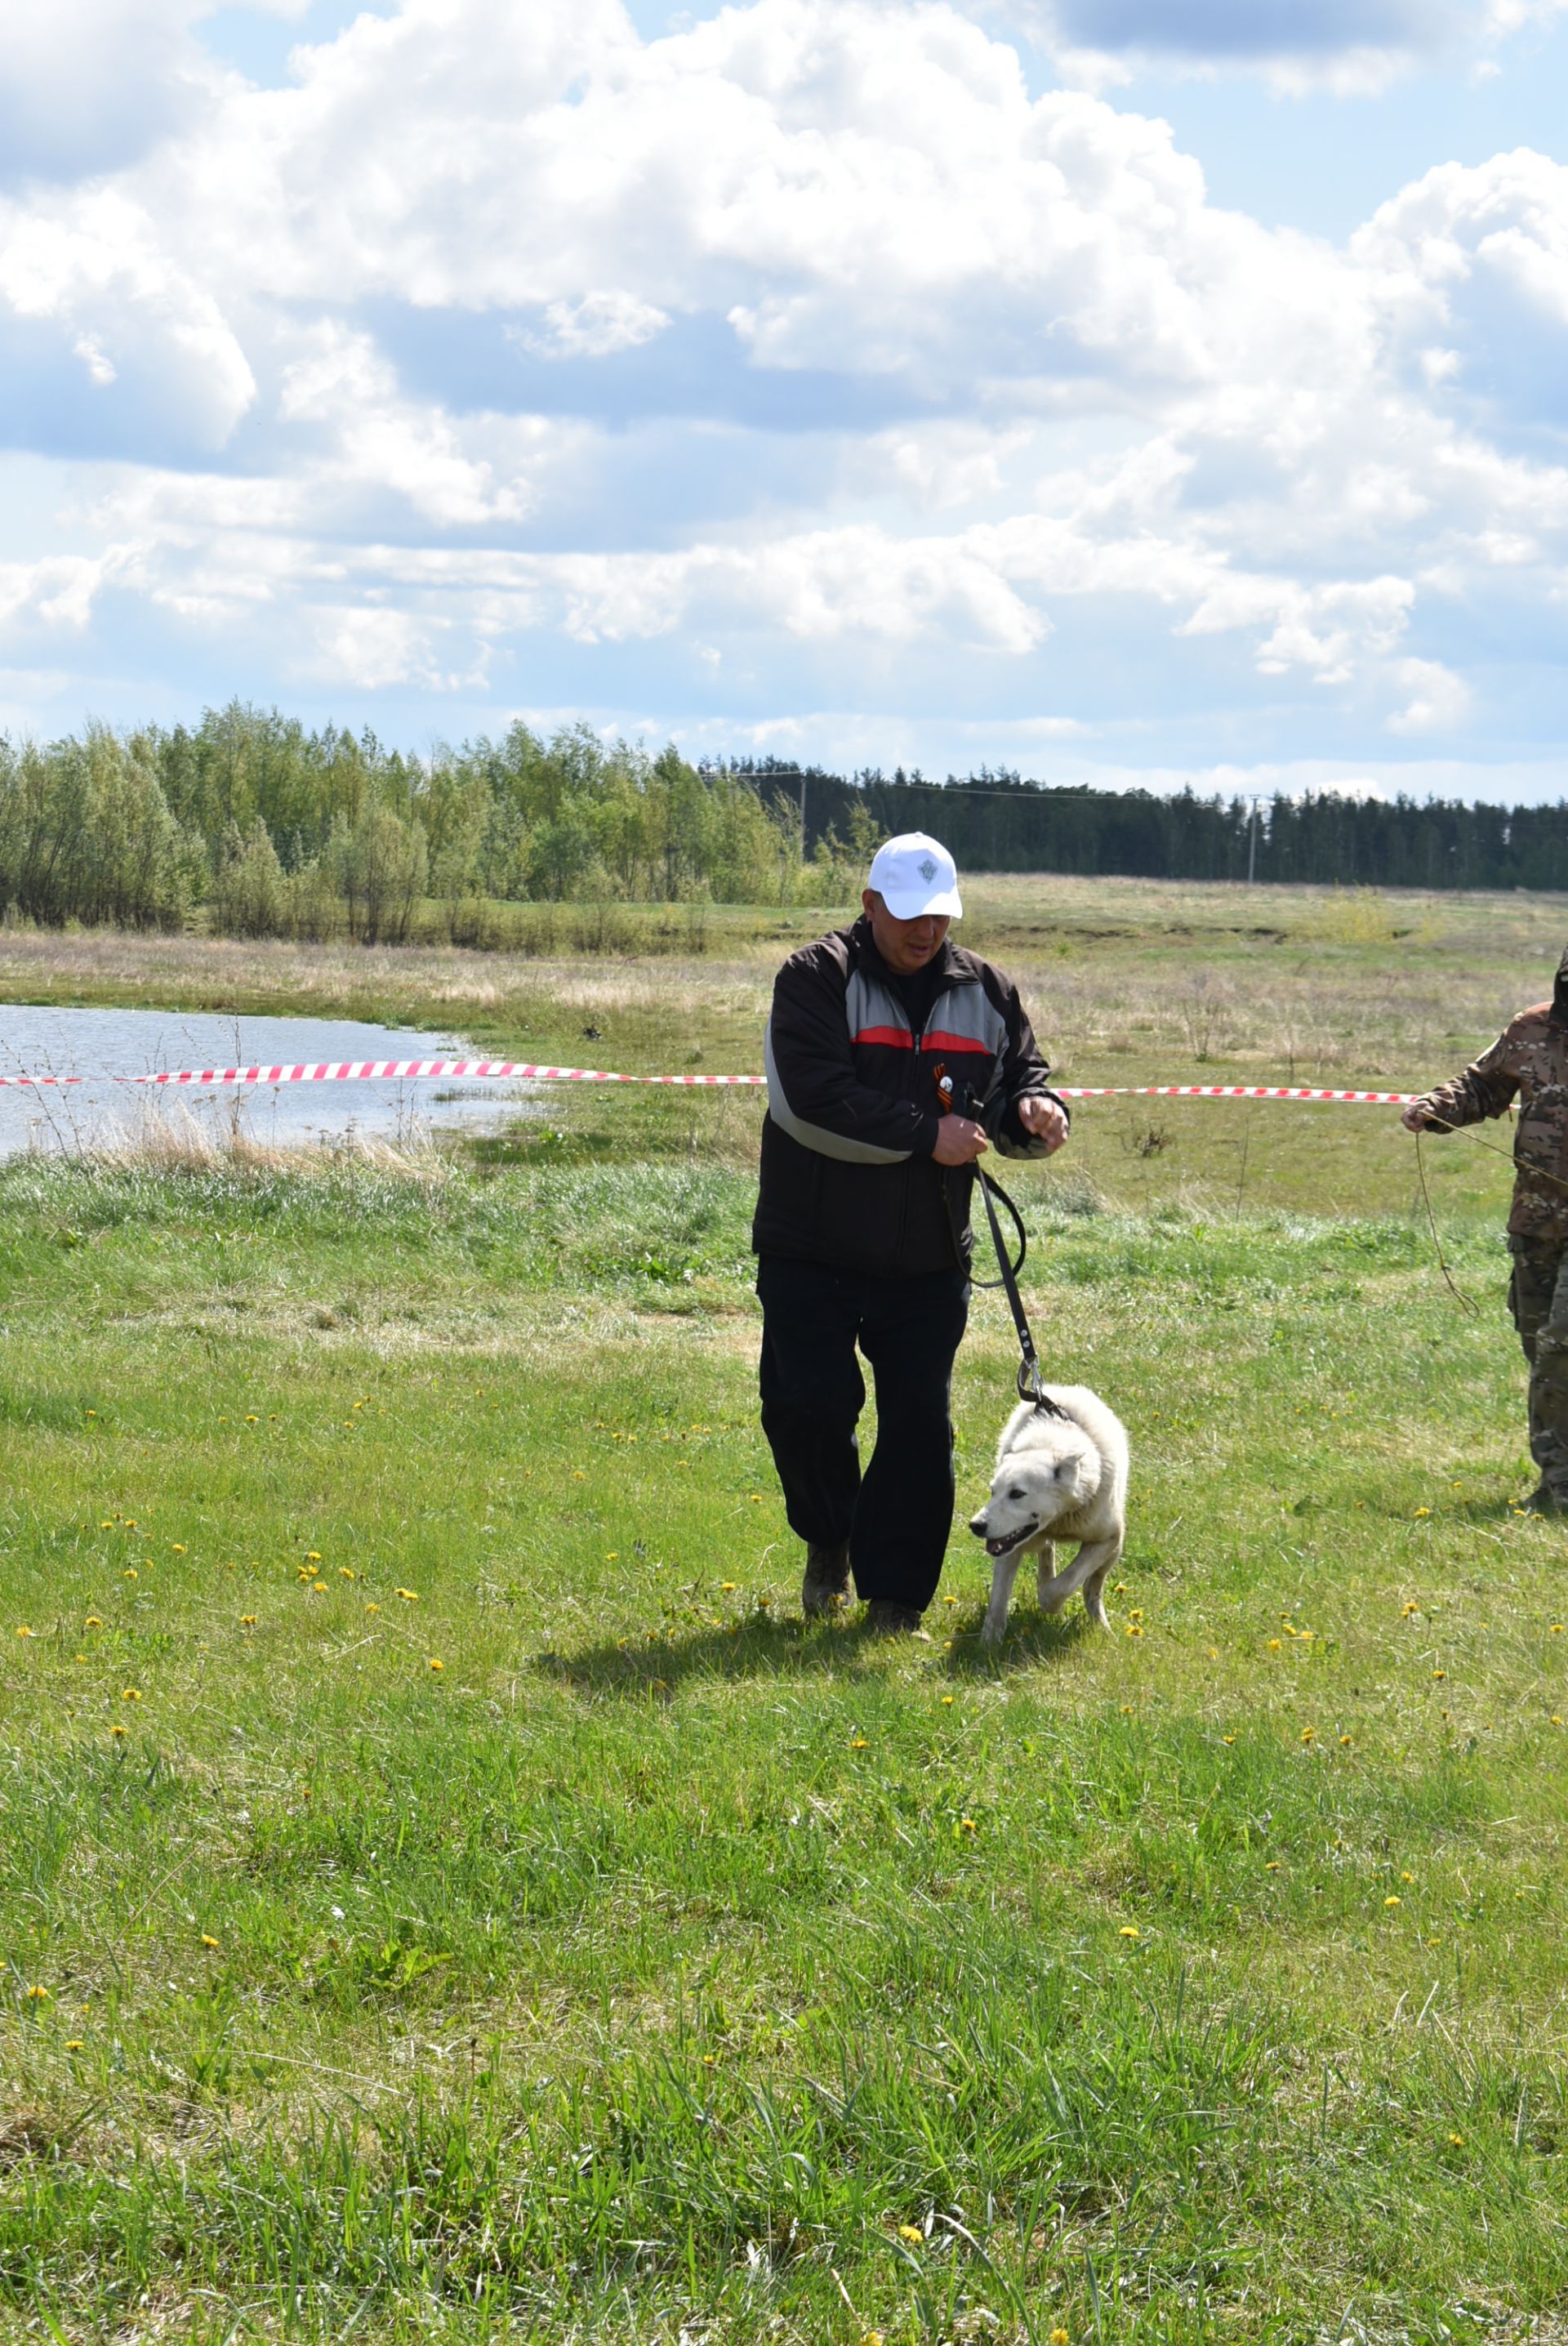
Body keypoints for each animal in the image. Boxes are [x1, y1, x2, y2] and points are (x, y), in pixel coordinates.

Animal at [965, 1379, 1125, 1642]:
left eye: (1017, 1493)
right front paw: (988, 1643)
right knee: (1047, 1550)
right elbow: (998, 1597)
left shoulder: (1106, 1539)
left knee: (1093, 1588)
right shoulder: (1008, 1546)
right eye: (992, 1491)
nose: (976, 1526)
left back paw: (1103, 1628)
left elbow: (1065, 1584)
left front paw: (1051, 1603)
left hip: (1113, 1552)